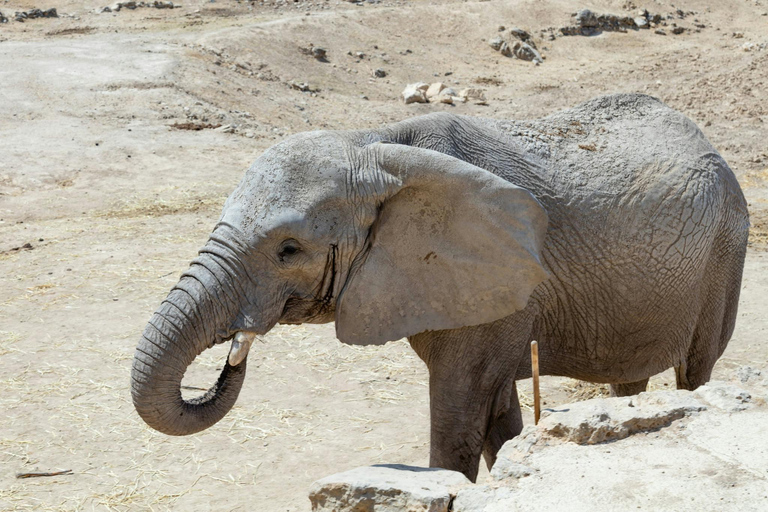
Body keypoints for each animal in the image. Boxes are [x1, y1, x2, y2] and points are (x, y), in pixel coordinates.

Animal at [132, 94, 752, 482]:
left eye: (289, 250)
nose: (234, 350)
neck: (376, 147)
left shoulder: (494, 285)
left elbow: (458, 421)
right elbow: (498, 423)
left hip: (727, 249)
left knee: (696, 369)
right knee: (630, 379)